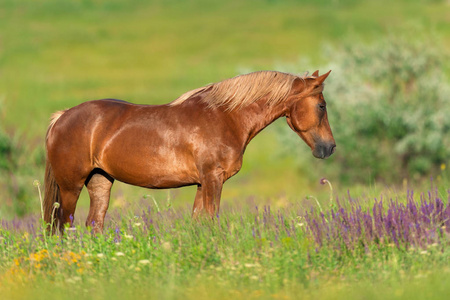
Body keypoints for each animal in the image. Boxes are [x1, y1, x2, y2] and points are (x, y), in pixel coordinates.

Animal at [44, 69, 336, 232]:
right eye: (322, 105)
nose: (329, 147)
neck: (225, 117)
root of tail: (62, 117)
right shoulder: (213, 179)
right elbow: (211, 219)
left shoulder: (201, 183)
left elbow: (199, 222)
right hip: (71, 187)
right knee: (63, 226)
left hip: (100, 181)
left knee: (94, 225)